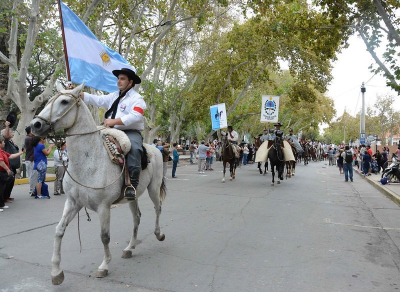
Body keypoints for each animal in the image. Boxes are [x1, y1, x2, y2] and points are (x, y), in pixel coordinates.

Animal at [30, 84, 166, 286]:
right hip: (132, 196)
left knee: (158, 209)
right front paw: (56, 272)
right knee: (137, 217)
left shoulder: (104, 207)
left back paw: (158, 234)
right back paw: (129, 247)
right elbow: (59, 230)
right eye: (48, 101)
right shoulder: (73, 203)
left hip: (153, 189)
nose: (35, 125)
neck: (88, 161)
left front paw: (104, 266)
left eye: (65, 101)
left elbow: (104, 236)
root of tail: (155, 149)